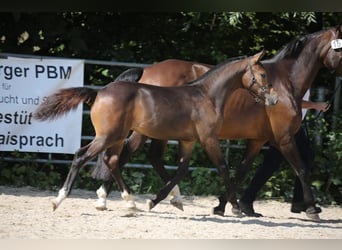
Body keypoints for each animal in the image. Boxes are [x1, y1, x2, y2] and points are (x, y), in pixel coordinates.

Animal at [34, 50, 278, 211]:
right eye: (263, 75)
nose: (274, 99)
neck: (206, 95)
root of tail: (99, 92)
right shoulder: (209, 139)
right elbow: (223, 168)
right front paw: (234, 207)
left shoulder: (188, 140)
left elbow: (181, 170)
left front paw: (159, 200)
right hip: (108, 137)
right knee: (80, 156)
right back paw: (59, 199)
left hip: (117, 137)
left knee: (112, 161)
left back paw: (130, 202)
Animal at [92, 25, 342, 221]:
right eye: (340, 48)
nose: (273, 99)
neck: (285, 81)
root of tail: (146, 71)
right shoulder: (284, 138)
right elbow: (301, 169)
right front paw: (312, 209)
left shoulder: (258, 140)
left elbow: (241, 171)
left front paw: (226, 205)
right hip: (145, 131)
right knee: (127, 155)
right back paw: (112, 199)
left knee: (149, 158)